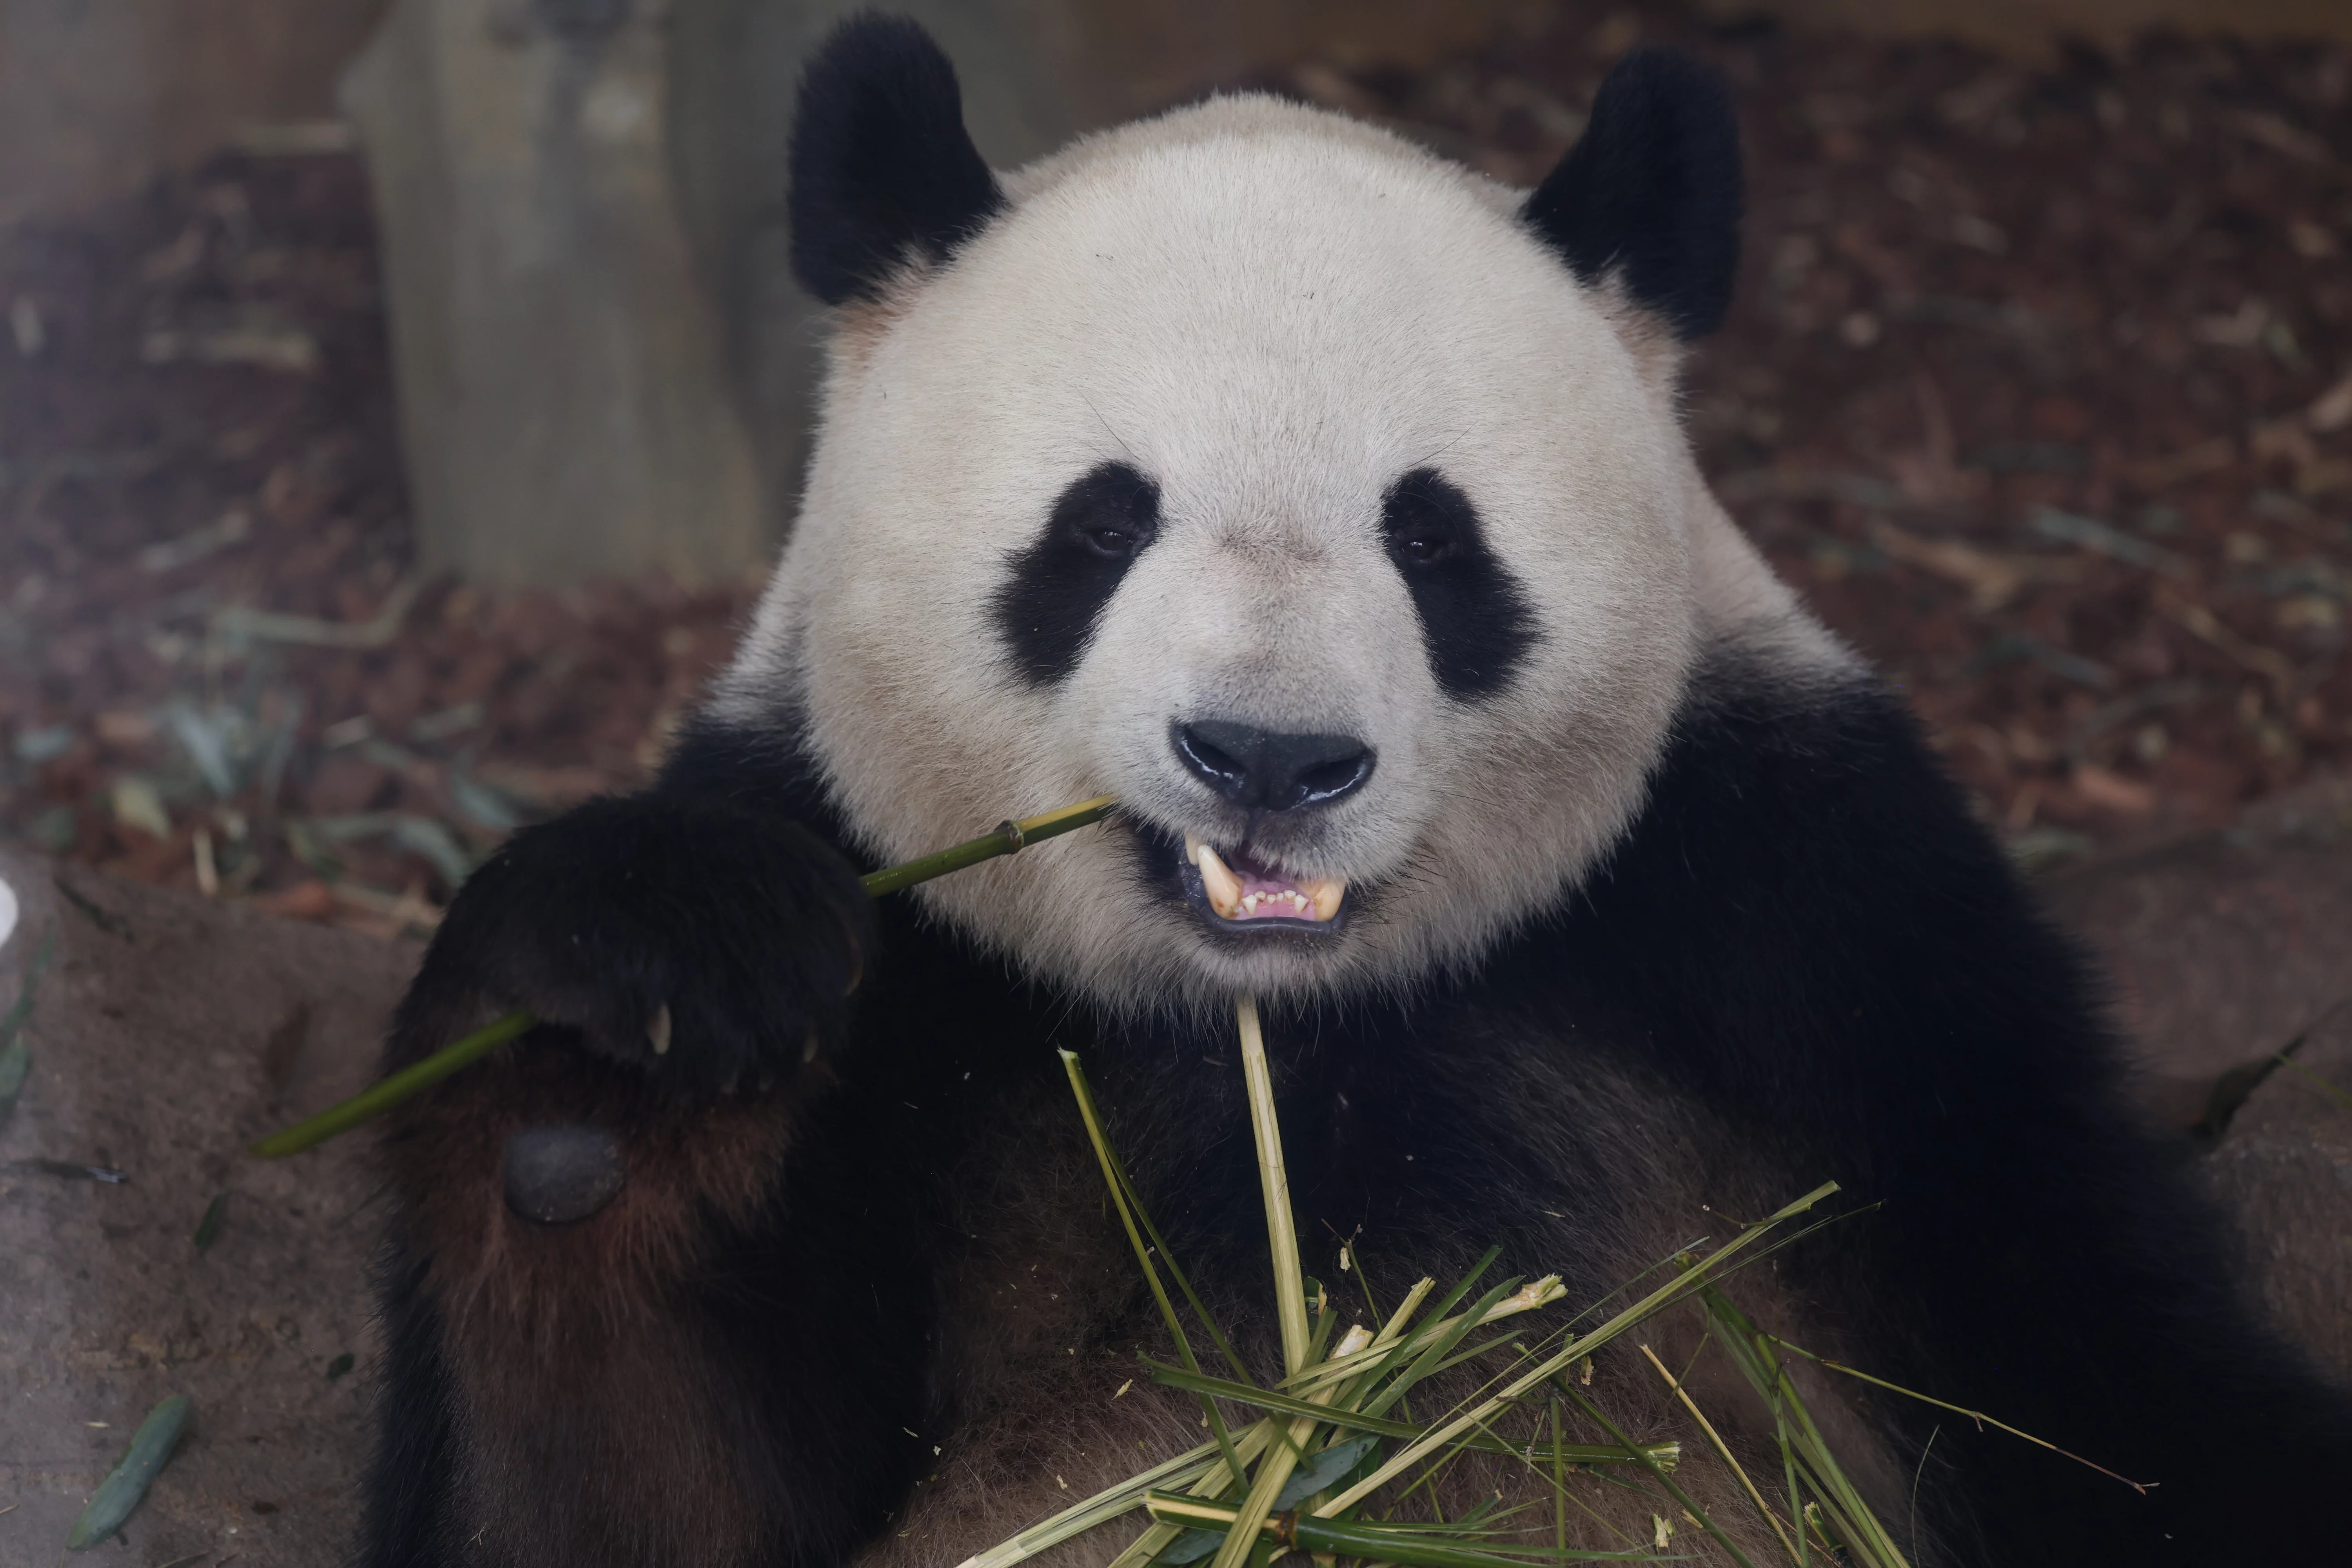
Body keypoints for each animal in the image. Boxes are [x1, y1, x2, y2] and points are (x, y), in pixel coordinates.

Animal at [362, 15, 2352, 1567]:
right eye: (1100, 525)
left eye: (1434, 537)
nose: (1267, 758)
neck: (1272, 1015)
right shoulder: (910, 967)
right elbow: (634, 1490)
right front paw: (618, 1036)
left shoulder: (1800, 921)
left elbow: (2092, 1374)